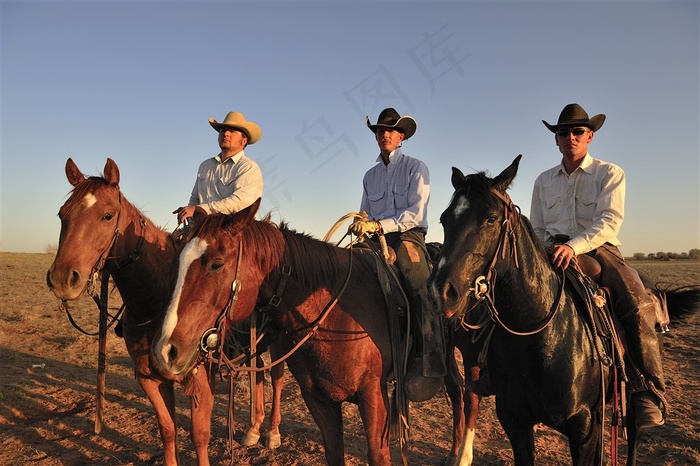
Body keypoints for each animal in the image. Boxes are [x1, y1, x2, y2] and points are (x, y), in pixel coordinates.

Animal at [46, 158, 284, 464]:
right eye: (62, 214)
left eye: (107, 215)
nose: (62, 279)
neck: (155, 302)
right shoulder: (149, 377)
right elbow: (167, 429)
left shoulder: (200, 380)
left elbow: (199, 434)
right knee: (259, 377)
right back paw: (253, 430)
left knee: (276, 379)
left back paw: (272, 433)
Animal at [150, 200, 474, 466]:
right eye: (177, 263)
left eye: (216, 264)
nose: (165, 351)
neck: (335, 311)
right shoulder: (319, 400)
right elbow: (334, 453)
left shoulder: (373, 395)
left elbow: (378, 456)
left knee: (459, 393)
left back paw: (456, 455)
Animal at [430, 157, 700, 466]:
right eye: (444, 219)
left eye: (491, 218)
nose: (442, 291)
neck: (540, 336)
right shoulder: (514, 420)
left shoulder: (585, 426)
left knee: (634, 432)